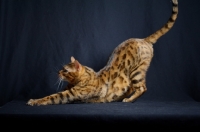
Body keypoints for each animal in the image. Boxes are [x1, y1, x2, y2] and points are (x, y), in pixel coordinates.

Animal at [26, 0, 178, 105]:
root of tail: (143, 39)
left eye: (65, 70)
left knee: (142, 88)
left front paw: (35, 101)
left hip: (137, 72)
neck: (82, 78)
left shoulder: (71, 93)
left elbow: (52, 97)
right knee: (130, 88)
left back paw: (128, 100)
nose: (58, 72)